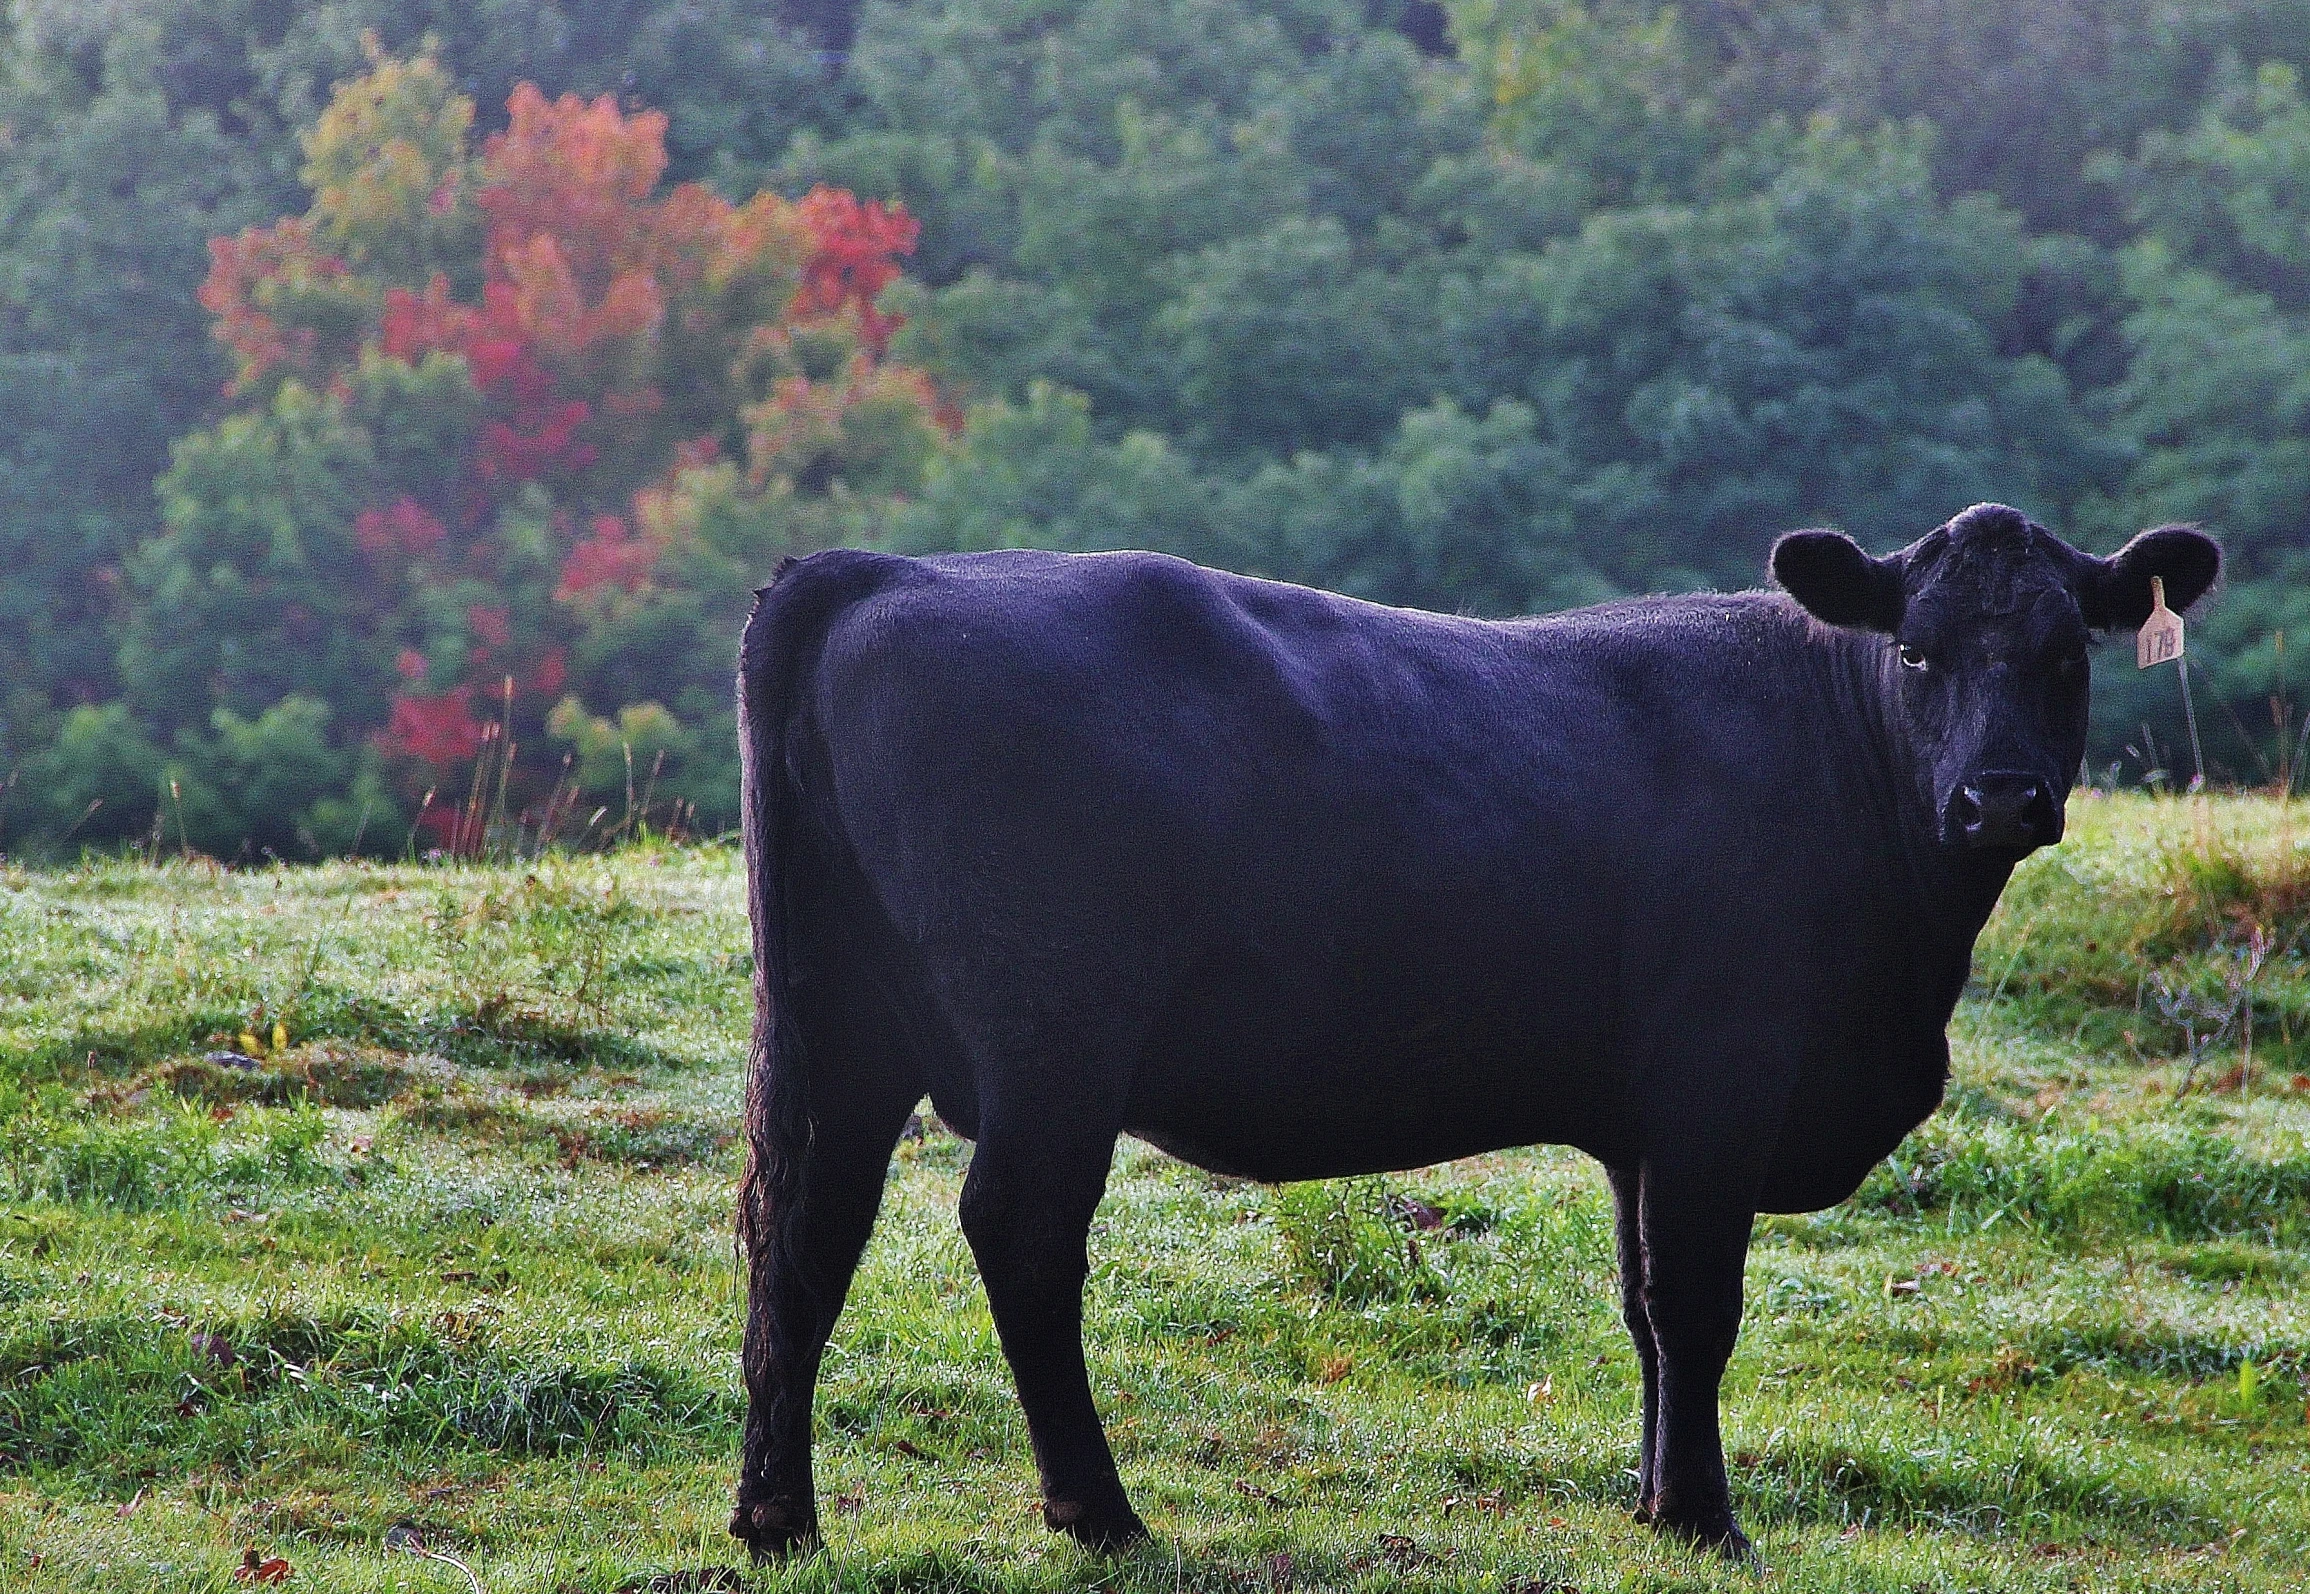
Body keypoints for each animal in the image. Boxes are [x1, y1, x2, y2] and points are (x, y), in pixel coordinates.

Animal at [734, 505, 2217, 1552]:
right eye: (1915, 648)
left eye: (2066, 652)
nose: (2000, 797)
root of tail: (884, 570)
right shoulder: (1719, 1081)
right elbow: (1698, 1301)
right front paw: (1705, 1519)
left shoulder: (1642, 1122)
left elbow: (1642, 1306)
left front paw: (1652, 1501)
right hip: (1054, 1038)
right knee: (1022, 1236)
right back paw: (1098, 1512)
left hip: (845, 1027)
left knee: (804, 1234)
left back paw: (777, 1517)